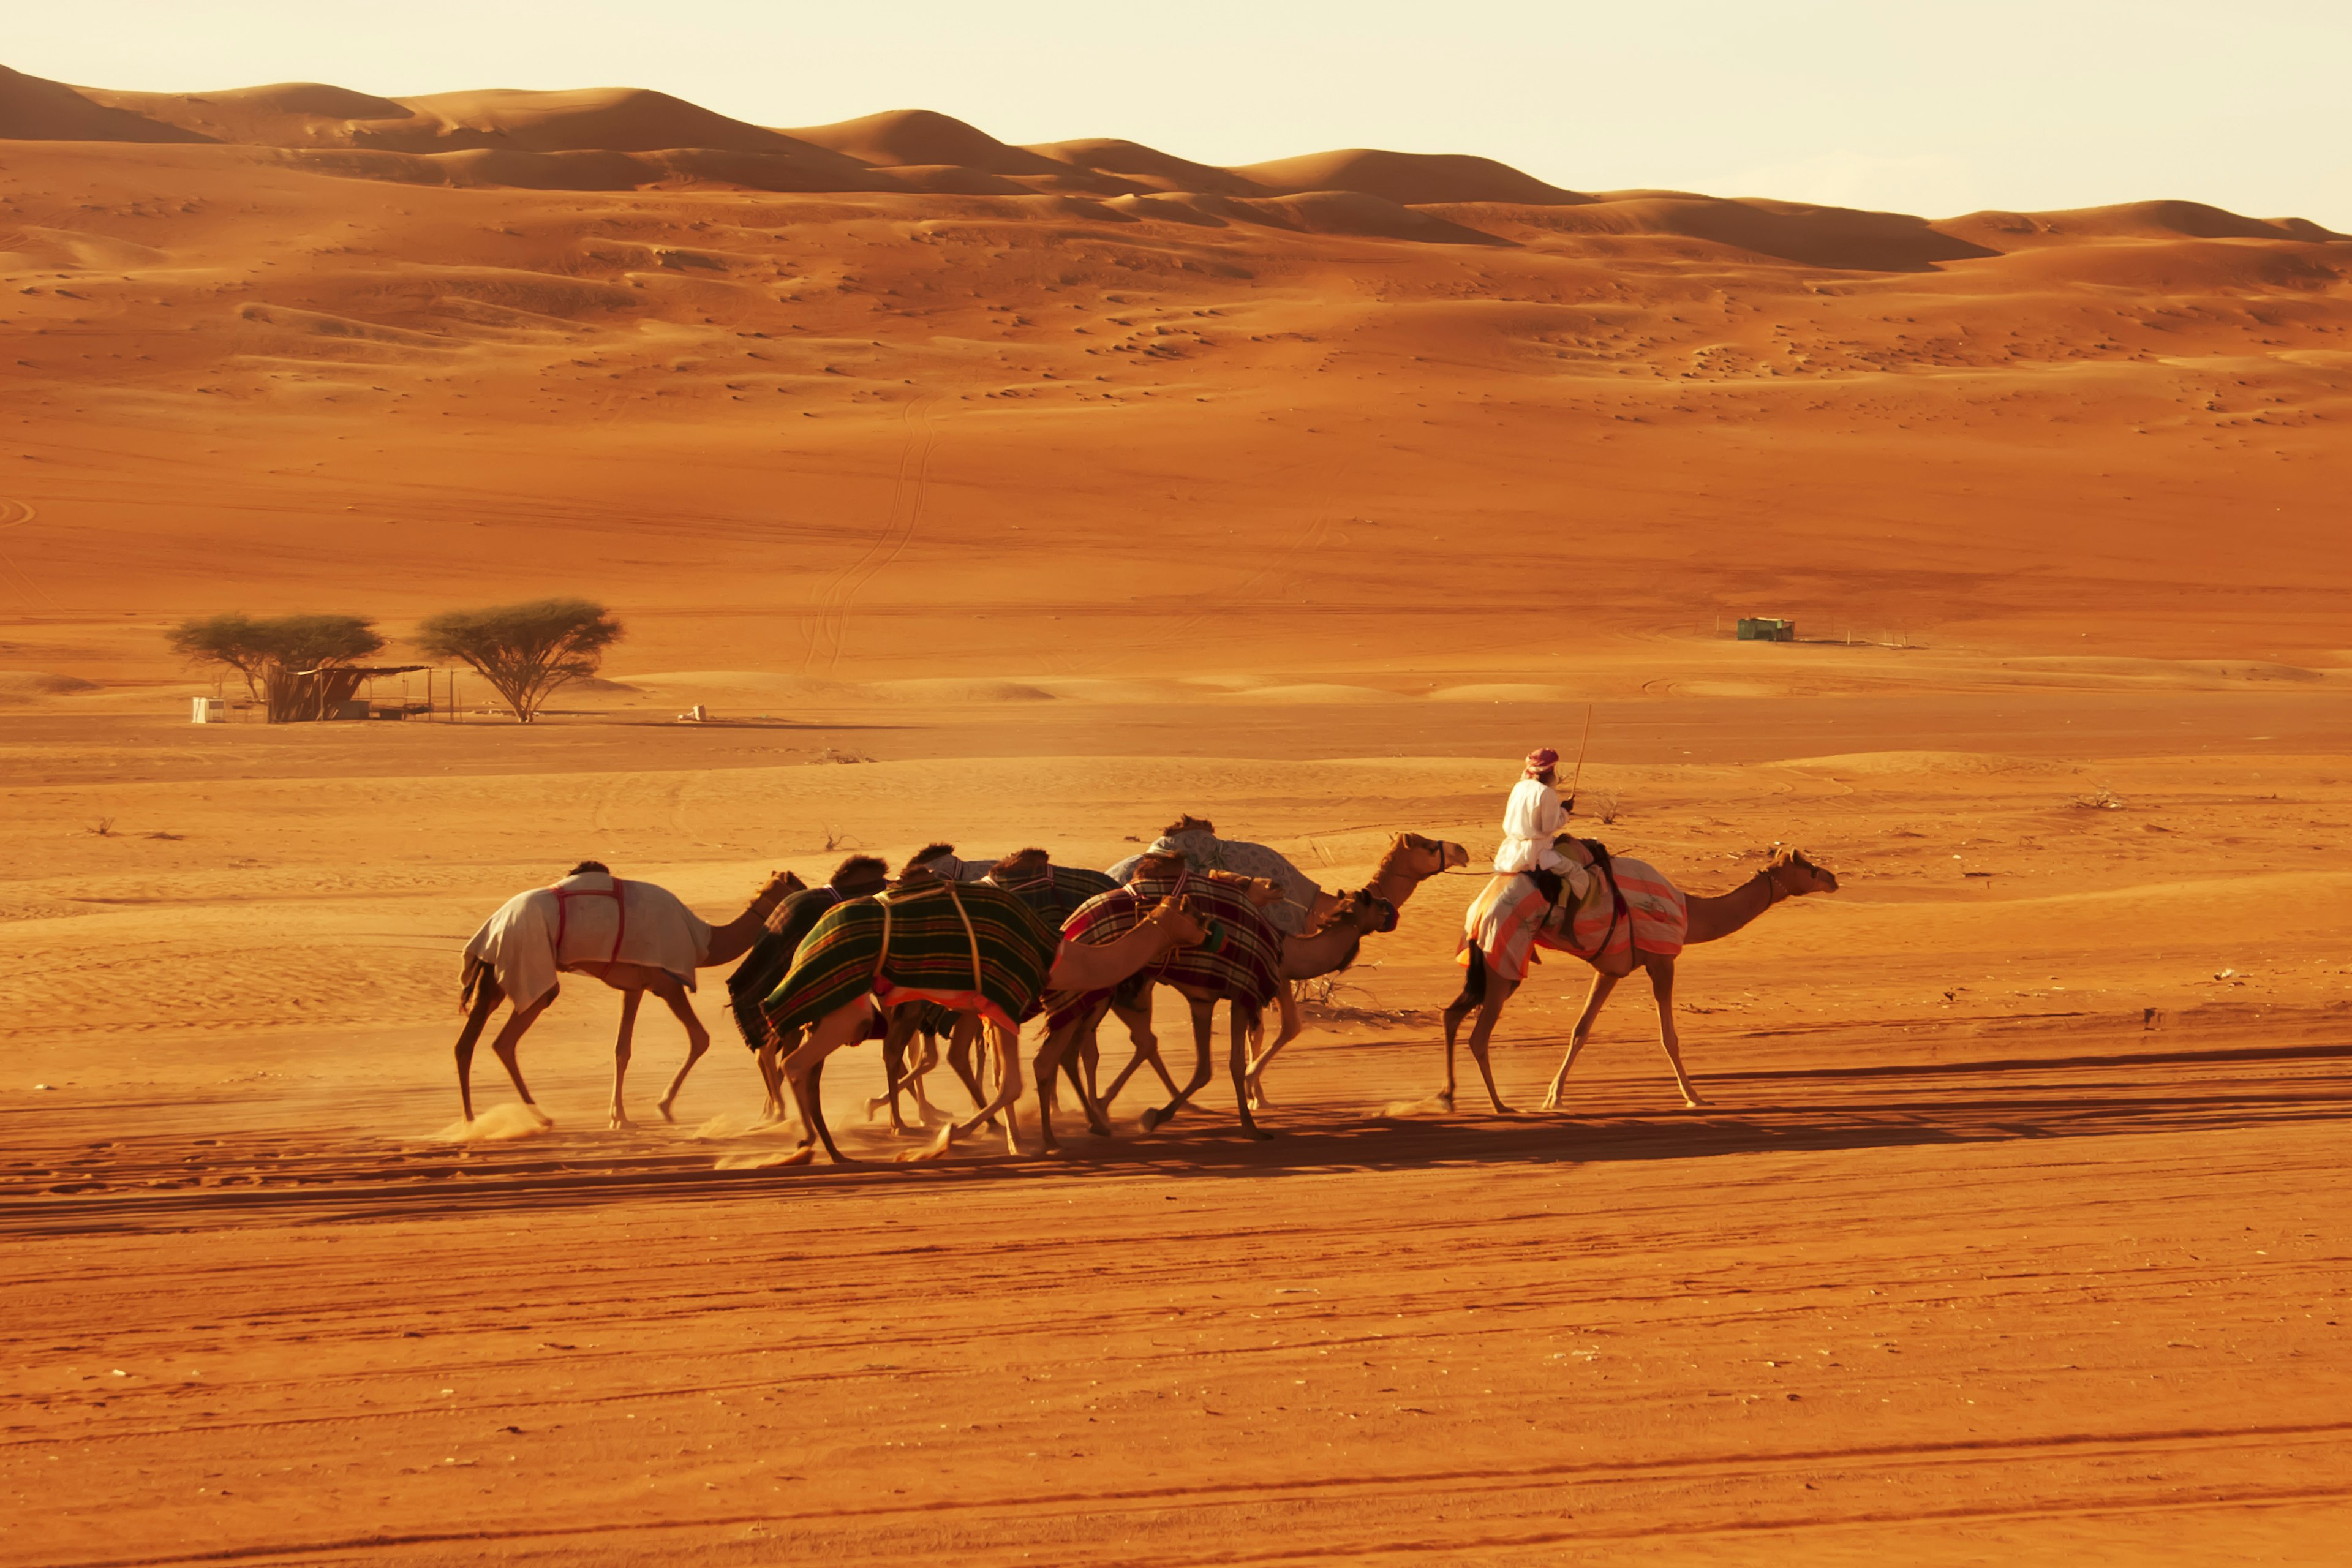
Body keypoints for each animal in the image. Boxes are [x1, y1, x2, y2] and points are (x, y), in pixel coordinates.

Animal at [458, 860, 809, 1128]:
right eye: (798, 884)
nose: (815, 891)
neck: (707, 941)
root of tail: (492, 924)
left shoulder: (634, 987)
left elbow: (621, 1049)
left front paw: (619, 1117)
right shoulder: (667, 982)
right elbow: (700, 1038)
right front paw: (663, 1108)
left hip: (495, 973)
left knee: (470, 1042)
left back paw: (477, 1119)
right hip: (527, 966)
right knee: (505, 1039)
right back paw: (528, 1117)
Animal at [757, 884, 1204, 1166]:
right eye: (1192, 914)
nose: (1208, 932)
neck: (1056, 956)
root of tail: (808, 940)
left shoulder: (991, 1009)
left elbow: (1002, 1080)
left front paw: (1012, 1143)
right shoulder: (1005, 1000)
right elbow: (1011, 1084)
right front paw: (947, 1138)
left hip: (839, 1001)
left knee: (810, 1067)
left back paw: (833, 1149)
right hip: (848, 1009)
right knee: (796, 1064)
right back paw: (808, 1148)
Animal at [1430, 846, 1834, 1114]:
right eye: (1809, 868)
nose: (1833, 878)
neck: (1690, 912)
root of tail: (1478, 912)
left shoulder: (1610, 969)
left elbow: (1580, 1030)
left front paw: (1553, 1097)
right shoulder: (1662, 960)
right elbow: (1669, 1037)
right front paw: (1695, 1097)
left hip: (1485, 967)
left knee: (1451, 1015)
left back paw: (1448, 1096)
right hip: (1504, 961)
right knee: (1479, 1035)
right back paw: (1500, 1105)